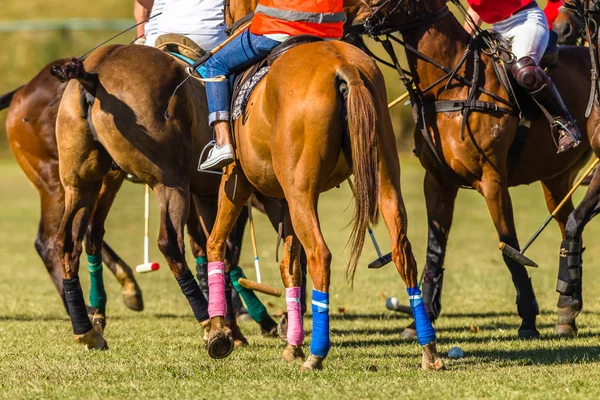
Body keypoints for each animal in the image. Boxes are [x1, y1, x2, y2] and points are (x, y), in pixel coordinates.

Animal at [199, 0, 442, 372]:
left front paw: (218, 335)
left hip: (301, 193)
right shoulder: (284, 201)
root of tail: (344, 68)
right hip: (383, 177)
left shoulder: (236, 182)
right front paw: (291, 345)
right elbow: (289, 267)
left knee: (319, 255)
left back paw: (317, 353)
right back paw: (428, 349)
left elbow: (216, 245)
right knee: (402, 251)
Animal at [352, 0, 600, 340]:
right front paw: (421, 319)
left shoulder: (492, 180)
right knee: (569, 224)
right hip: (555, 178)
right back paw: (568, 310)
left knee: (527, 71)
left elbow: (509, 248)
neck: (452, 85)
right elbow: (434, 249)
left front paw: (528, 319)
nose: (349, 25)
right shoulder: (437, 181)